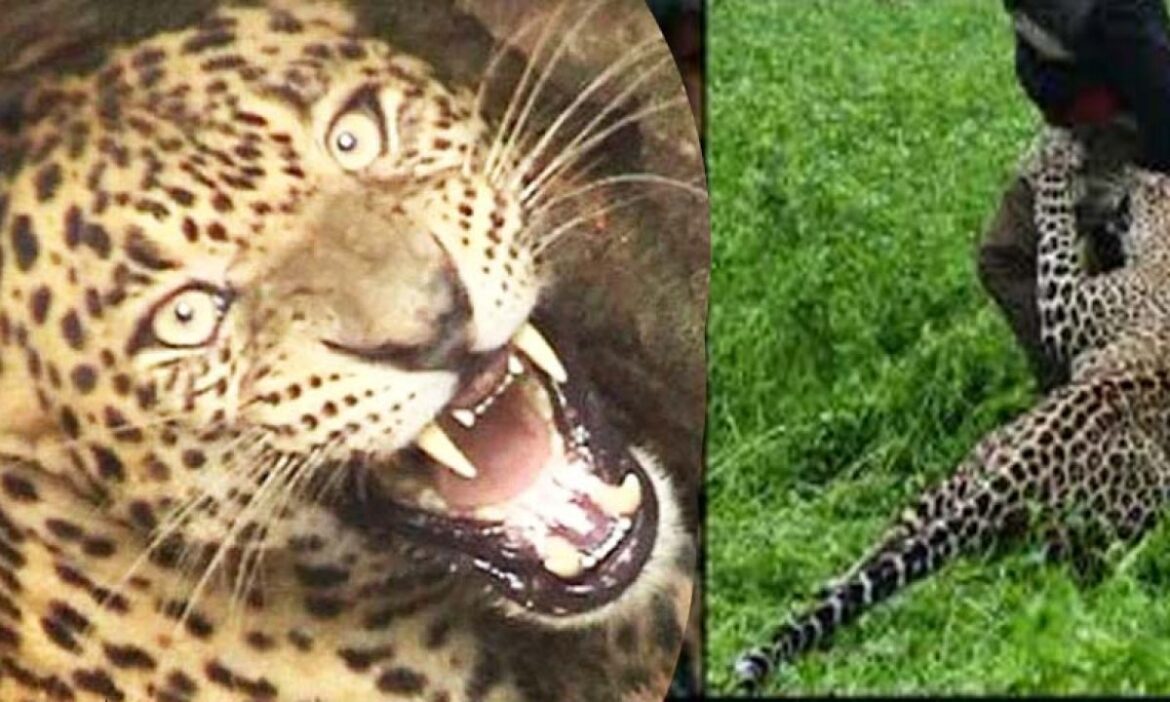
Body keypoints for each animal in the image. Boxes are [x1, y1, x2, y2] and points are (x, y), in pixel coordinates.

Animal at [732, 127, 1170, 695]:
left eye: (1148, 185)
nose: (1134, 173)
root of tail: (1016, 472)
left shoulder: (1071, 308)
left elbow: (1055, 240)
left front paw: (1051, 160)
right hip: (961, 481)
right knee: (896, 551)